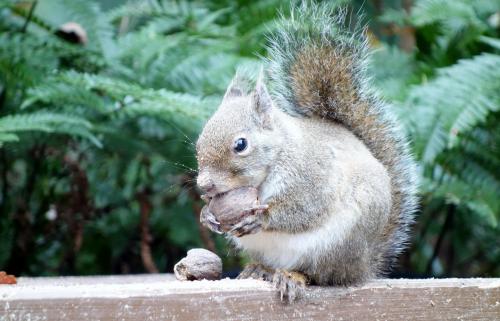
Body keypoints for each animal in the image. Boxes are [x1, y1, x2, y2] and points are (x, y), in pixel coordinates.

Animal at [195, 2, 418, 300]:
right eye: (198, 142)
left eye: (240, 145)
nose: (204, 185)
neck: (279, 155)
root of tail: (363, 266)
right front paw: (206, 215)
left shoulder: (313, 177)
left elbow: (304, 209)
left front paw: (262, 218)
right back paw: (259, 269)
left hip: (334, 247)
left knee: (319, 275)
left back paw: (292, 277)